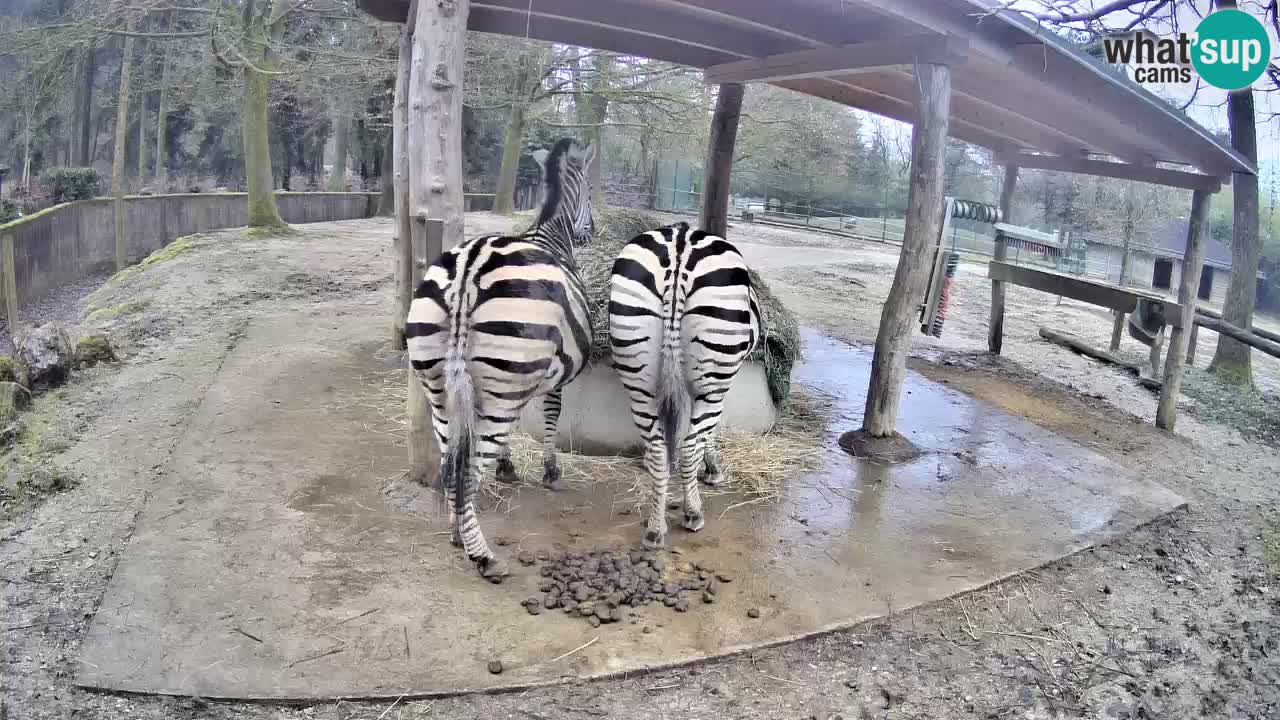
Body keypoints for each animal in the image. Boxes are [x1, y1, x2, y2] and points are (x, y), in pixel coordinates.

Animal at [404, 138, 595, 579]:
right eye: (592, 193)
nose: (593, 232)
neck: (550, 235)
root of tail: (468, 270)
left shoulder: (516, 379)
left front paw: (508, 466)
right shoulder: (553, 375)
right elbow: (551, 415)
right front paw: (550, 472)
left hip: (441, 389)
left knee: (452, 462)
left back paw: (457, 531)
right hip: (497, 385)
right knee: (470, 468)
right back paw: (481, 554)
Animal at [608, 222, 763, 549]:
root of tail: (680, 244)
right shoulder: (716, 384)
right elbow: (708, 432)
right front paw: (712, 469)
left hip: (637, 371)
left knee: (657, 447)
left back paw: (655, 528)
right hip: (714, 377)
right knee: (690, 443)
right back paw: (693, 513)